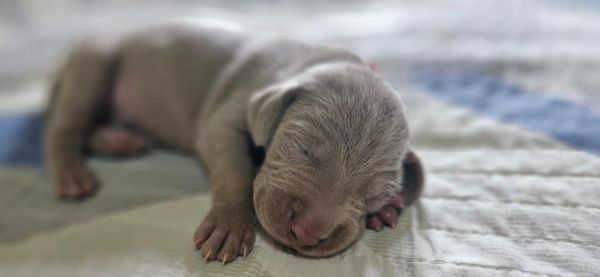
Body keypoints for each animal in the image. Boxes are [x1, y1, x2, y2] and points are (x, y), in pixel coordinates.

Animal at [44, 21, 424, 264]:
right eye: (303, 149)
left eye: (371, 194)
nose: (305, 232)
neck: (309, 62)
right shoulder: (225, 119)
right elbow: (236, 171)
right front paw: (228, 226)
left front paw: (389, 208)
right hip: (93, 65)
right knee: (64, 127)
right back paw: (72, 174)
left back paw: (118, 139)